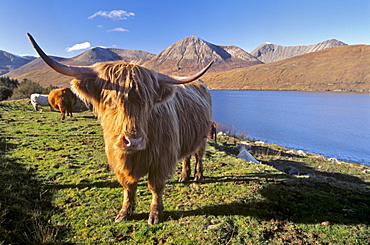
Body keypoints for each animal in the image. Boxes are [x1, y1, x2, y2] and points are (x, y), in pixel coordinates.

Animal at [27, 33, 214, 225]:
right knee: (186, 156)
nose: (133, 141)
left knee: (198, 155)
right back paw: (184, 175)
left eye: (148, 103)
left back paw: (198, 175)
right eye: (110, 100)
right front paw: (124, 213)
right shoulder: (119, 159)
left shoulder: (161, 159)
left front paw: (154, 215)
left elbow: (155, 187)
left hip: (202, 135)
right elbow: (128, 186)